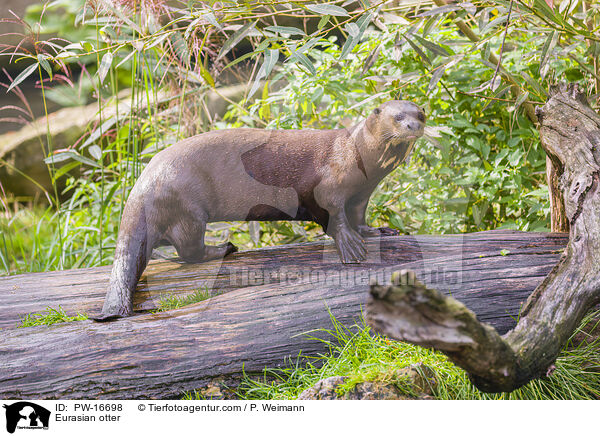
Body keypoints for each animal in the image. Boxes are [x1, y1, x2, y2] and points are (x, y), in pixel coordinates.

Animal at [96, 100, 424, 318]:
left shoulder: (361, 194)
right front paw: (351, 246)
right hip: (187, 205)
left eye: (421, 113)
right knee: (189, 251)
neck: (355, 155)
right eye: (397, 117)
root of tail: (140, 188)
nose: (415, 125)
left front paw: (378, 231)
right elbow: (334, 217)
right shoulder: (328, 187)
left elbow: (358, 216)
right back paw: (226, 248)